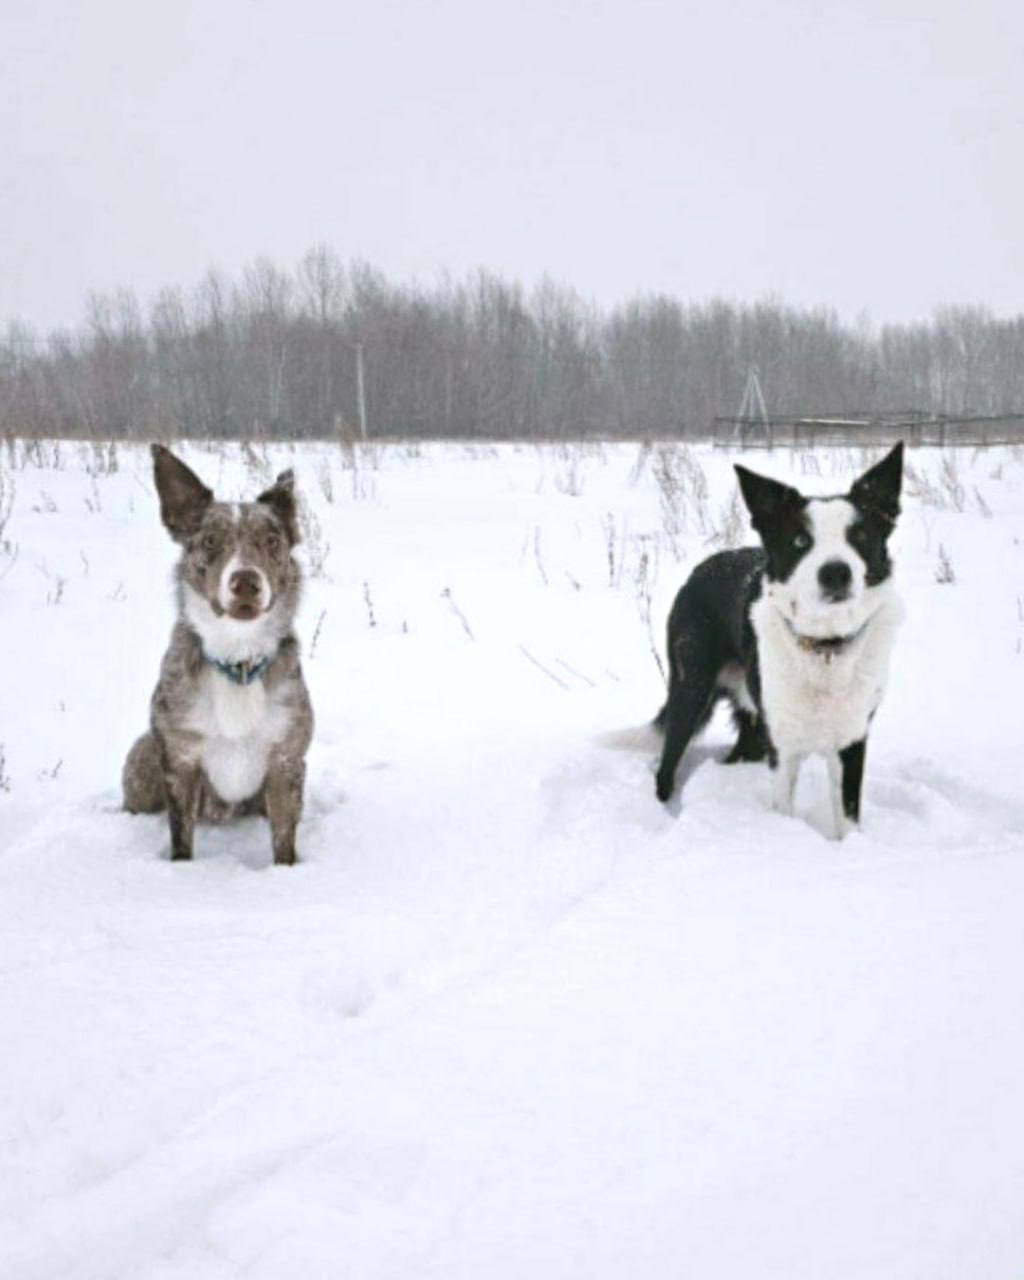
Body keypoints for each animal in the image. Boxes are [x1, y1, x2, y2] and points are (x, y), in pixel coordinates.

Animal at [122, 445, 312, 865]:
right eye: (209, 541)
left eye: (272, 540)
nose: (246, 582)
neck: (237, 659)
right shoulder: (181, 759)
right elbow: (181, 837)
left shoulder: (285, 760)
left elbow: (284, 839)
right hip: (143, 758)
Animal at [655, 442, 906, 839]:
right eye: (801, 540)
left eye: (860, 537)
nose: (836, 573)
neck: (825, 649)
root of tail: (702, 568)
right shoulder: (783, 746)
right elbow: (783, 809)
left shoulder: (851, 739)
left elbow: (848, 817)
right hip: (690, 691)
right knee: (666, 766)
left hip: (752, 719)